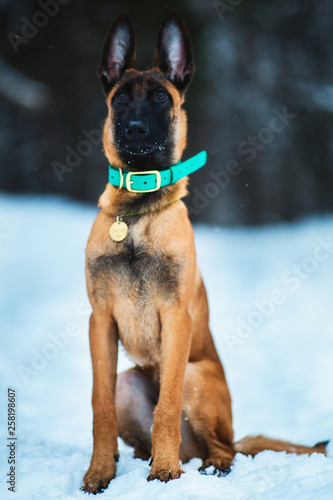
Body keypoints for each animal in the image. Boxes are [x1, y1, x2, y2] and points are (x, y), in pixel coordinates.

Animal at [81, 9, 326, 494]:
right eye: (121, 99)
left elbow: (167, 405)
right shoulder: (100, 322)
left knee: (224, 448)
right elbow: (100, 407)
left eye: (161, 97)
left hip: (199, 377)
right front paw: (99, 473)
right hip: (127, 382)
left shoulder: (176, 319)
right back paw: (146, 462)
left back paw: (203, 466)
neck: (137, 212)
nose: (135, 130)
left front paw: (166, 473)